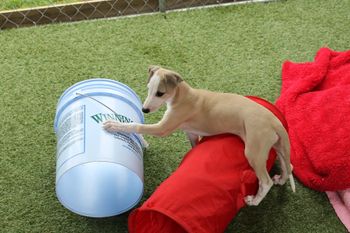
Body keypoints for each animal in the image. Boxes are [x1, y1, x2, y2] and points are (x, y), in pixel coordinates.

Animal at [103, 65, 296, 206]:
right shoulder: (192, 133)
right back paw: (280, 179)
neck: (183, 95)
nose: (144, 110)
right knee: (289, 166)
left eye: (160, 93)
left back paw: (254, 201)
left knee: (265, 181)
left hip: (254, 151)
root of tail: (275, 122)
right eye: (149, 88)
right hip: (276, 145)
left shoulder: (162, 128)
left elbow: (136, 125)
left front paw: (113, 125)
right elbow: (194, 146)